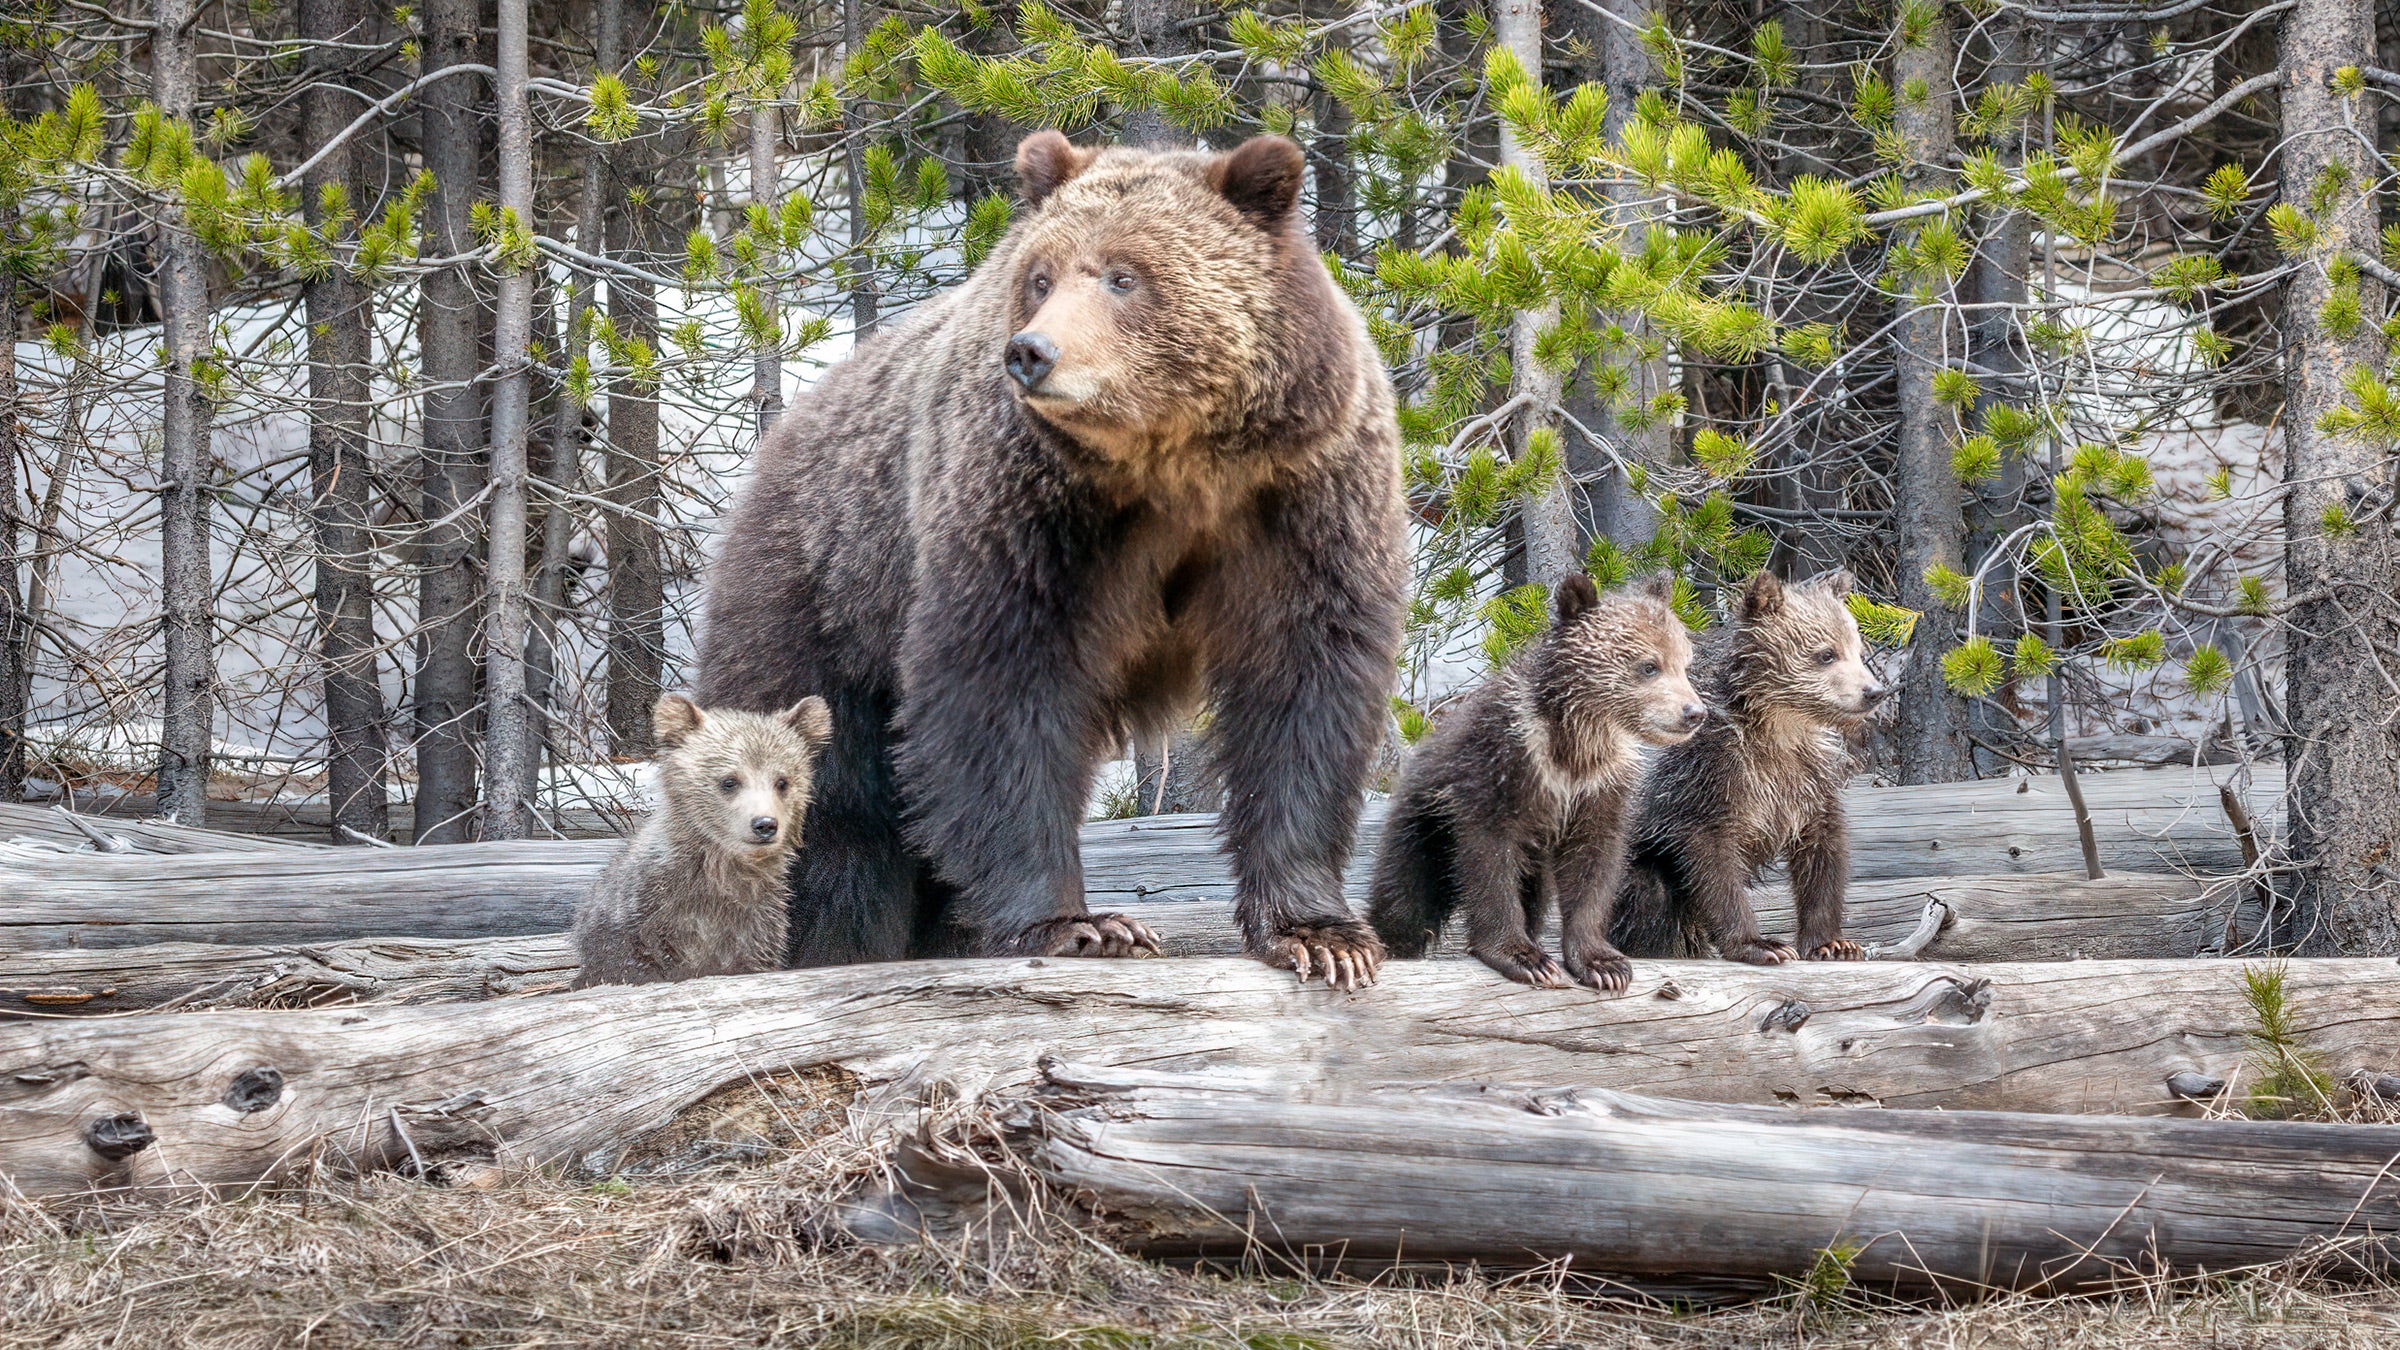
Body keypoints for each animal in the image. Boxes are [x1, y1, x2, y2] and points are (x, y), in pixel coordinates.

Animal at [696, 131, 1401, 984]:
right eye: (1041, 275)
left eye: (1125, 274)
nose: (1032, 352)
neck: (1175, 463)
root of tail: (778, 443)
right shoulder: (1033, 514)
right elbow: (1005, 693)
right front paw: (1081, 923)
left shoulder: (1298, 501)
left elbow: (1304, 690)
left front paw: (1320, 935)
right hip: (825, 603)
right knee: (829, 802)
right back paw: (834, 937)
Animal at [1372, 569, 1708, 989]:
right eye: (1650, 666)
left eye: (1685, 663)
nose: (1694, 712)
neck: (1572, 747)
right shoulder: (1497, 771)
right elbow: (1490, 862)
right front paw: (1523, 956)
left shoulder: (1599, 789)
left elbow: (1593, 865)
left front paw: (1604, 964)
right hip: (1425, 824)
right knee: (1407, 894)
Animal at [1612, 564, 1891, 956]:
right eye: (1826, 654)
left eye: (1857, 647)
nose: (1874, 691)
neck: (1775, 729)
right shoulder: (1704, 777)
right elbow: (1712, 860)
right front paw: (1761, 945)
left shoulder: (1807, 777)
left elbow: (1822, 850)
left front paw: (1832, 943)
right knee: (1644, 897)